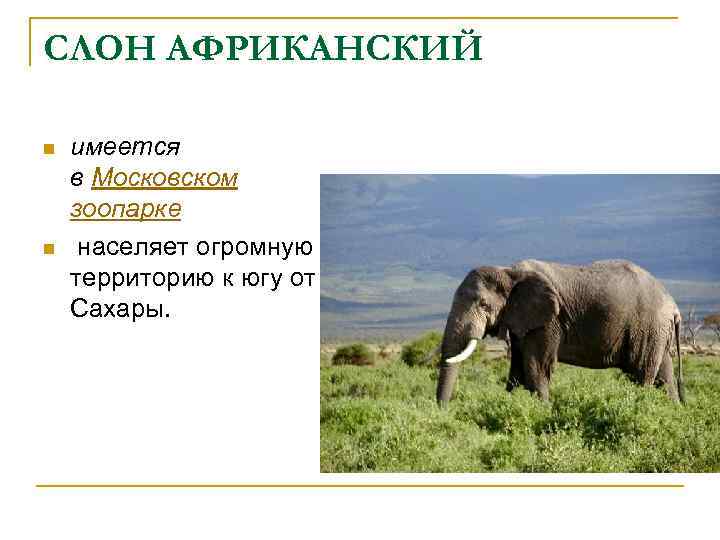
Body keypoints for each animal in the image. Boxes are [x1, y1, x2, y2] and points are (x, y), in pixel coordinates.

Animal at [436, 259, 684, 405]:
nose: (444, 411)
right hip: (657, 330)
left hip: (648, 326)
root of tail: (673, 305)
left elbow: (536, 367)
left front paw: (541, 413)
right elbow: (516, 370)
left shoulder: (549, 321)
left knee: (641, 373)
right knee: (664, 374)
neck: (509, 272)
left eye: (483, 305)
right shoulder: (522, 320)